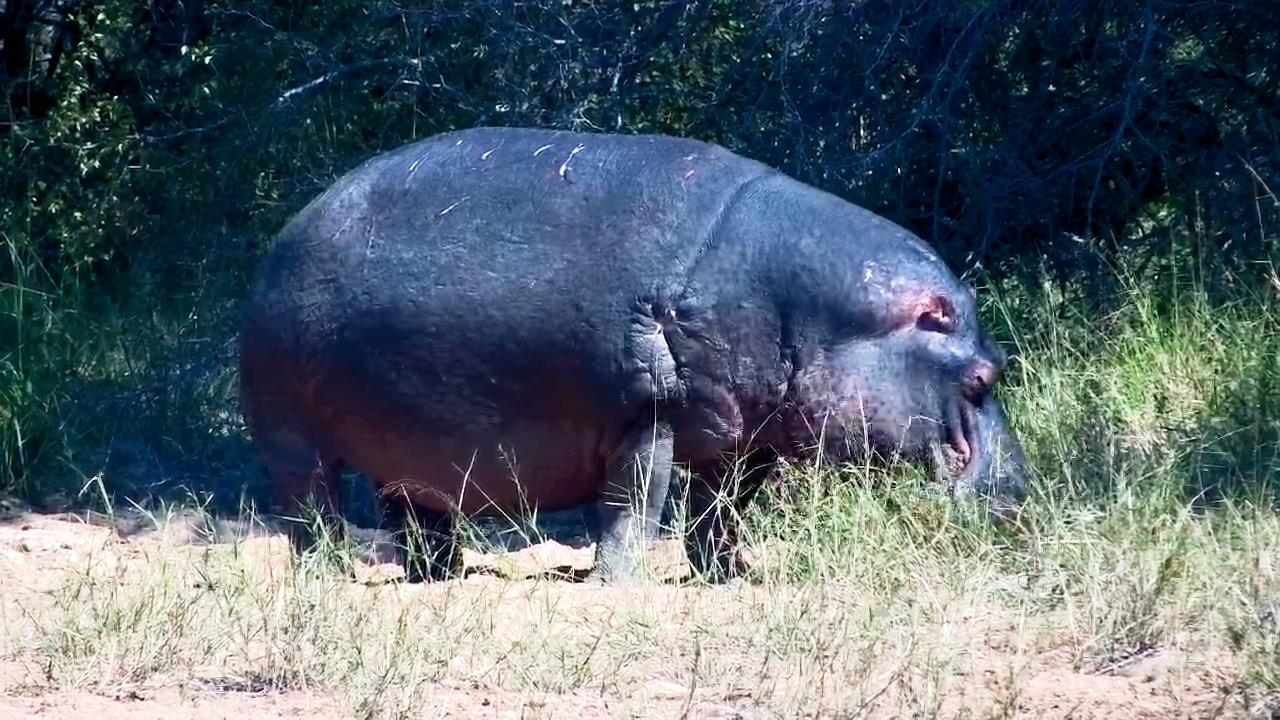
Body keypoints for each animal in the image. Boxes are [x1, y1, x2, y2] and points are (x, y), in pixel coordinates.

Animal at [239, 126, 1026, 583]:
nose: (1021, 497)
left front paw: (729, 578)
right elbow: (635, 504)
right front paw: (620, 586)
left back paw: (442, 580)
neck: (810, 314)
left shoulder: (744, 435)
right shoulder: (647, 416)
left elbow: (720, 513)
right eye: (982, 375)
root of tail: (290, 232)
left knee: (417, 512)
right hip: (290, 435)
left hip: (410, 445)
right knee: (309, 510)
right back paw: (329, 576)